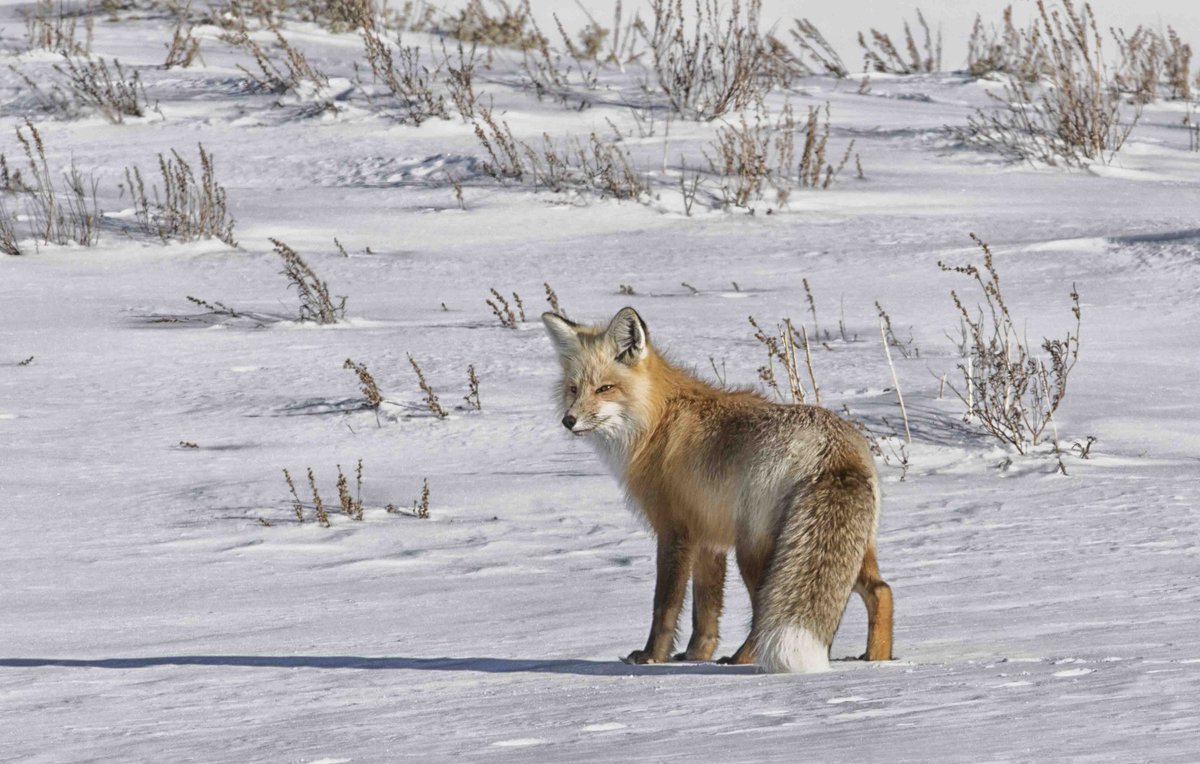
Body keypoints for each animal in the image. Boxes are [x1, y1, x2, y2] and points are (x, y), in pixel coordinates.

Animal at [541, 306, 893, 673]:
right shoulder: (707, 539)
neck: (657, 421)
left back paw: (741, 660)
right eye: (573, 389)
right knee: (882, 591)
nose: (569, 420)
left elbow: (665, 605)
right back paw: (879, 660)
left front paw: (652, 657)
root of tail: (833, 447)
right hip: (845, 548)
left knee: (764, 611)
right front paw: (696, 656)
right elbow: (706, 611)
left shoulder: (675, 531)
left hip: (754, 550)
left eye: (605, 388)